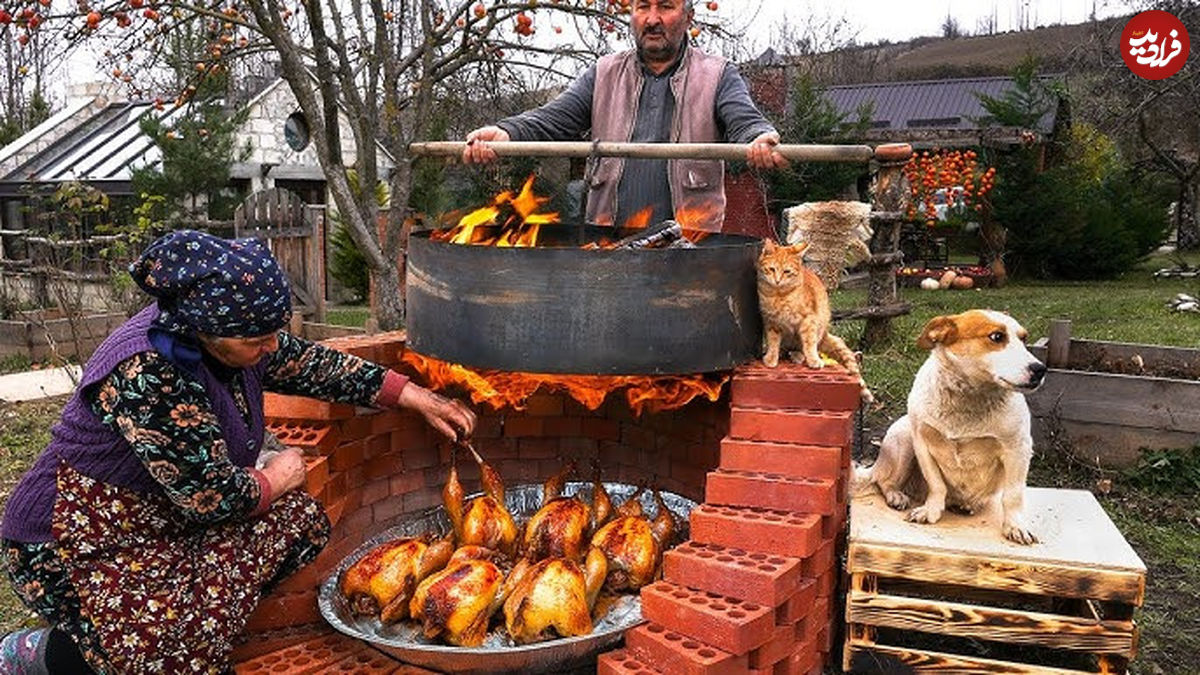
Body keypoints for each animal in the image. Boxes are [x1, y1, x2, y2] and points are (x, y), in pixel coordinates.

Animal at [758, 240, 873, 398]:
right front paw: (771, 357)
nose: (777, 280)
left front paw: (813, 360)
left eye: (787, 272)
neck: (779, 296)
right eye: (771, 269)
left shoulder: (809, 320)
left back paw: (798, 355)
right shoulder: (771, 322)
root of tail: (825, 335)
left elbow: (809, 343)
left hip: (818, 327)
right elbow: (773, 342)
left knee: (803, 347)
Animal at [859, 309, 1046, 540]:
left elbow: (1013, 494)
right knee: (883, 481)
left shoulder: (1018, 449)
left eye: (1024, 339)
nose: (1040, 369)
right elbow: (936, 484)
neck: (968, 398)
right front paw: (930, 511)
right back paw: (896, 495)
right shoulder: (922, 444)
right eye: (997, 337)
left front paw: (1015, 526)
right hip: (903, 438)